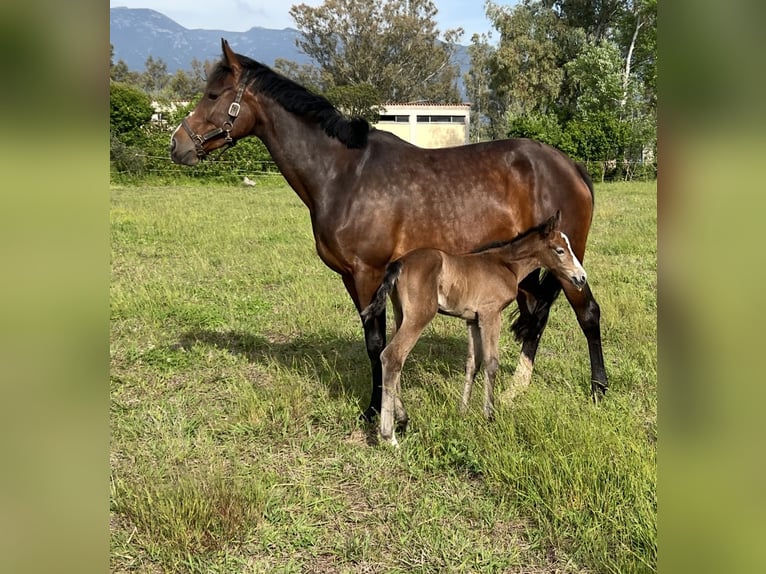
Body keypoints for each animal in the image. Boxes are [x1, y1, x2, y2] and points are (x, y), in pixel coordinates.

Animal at [170, 39, 608, 421]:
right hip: (532, 265)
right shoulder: (352, 277)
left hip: (567, 263)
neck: (344, 174)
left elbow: (376, 343)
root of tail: (570, 166)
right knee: (536, 314)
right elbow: (375, 340)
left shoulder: (369, 272)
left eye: (213, 95)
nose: (177, 145)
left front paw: (375, 411)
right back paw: (518, 389)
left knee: (587, 313)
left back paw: (597, 390)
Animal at [360, 211, 587, 446]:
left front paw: (463, 411)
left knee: (394, 359)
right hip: (420, 316)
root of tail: (400, 263)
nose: (581, 278)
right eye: (560, 250)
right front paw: (489, 415)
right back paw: (389, 436)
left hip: (401, 315)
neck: (506, 265)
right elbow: (491, 363)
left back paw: (403, 420)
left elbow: (472, 364)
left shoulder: (472, 320)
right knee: (392, 356)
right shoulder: (490, 314)